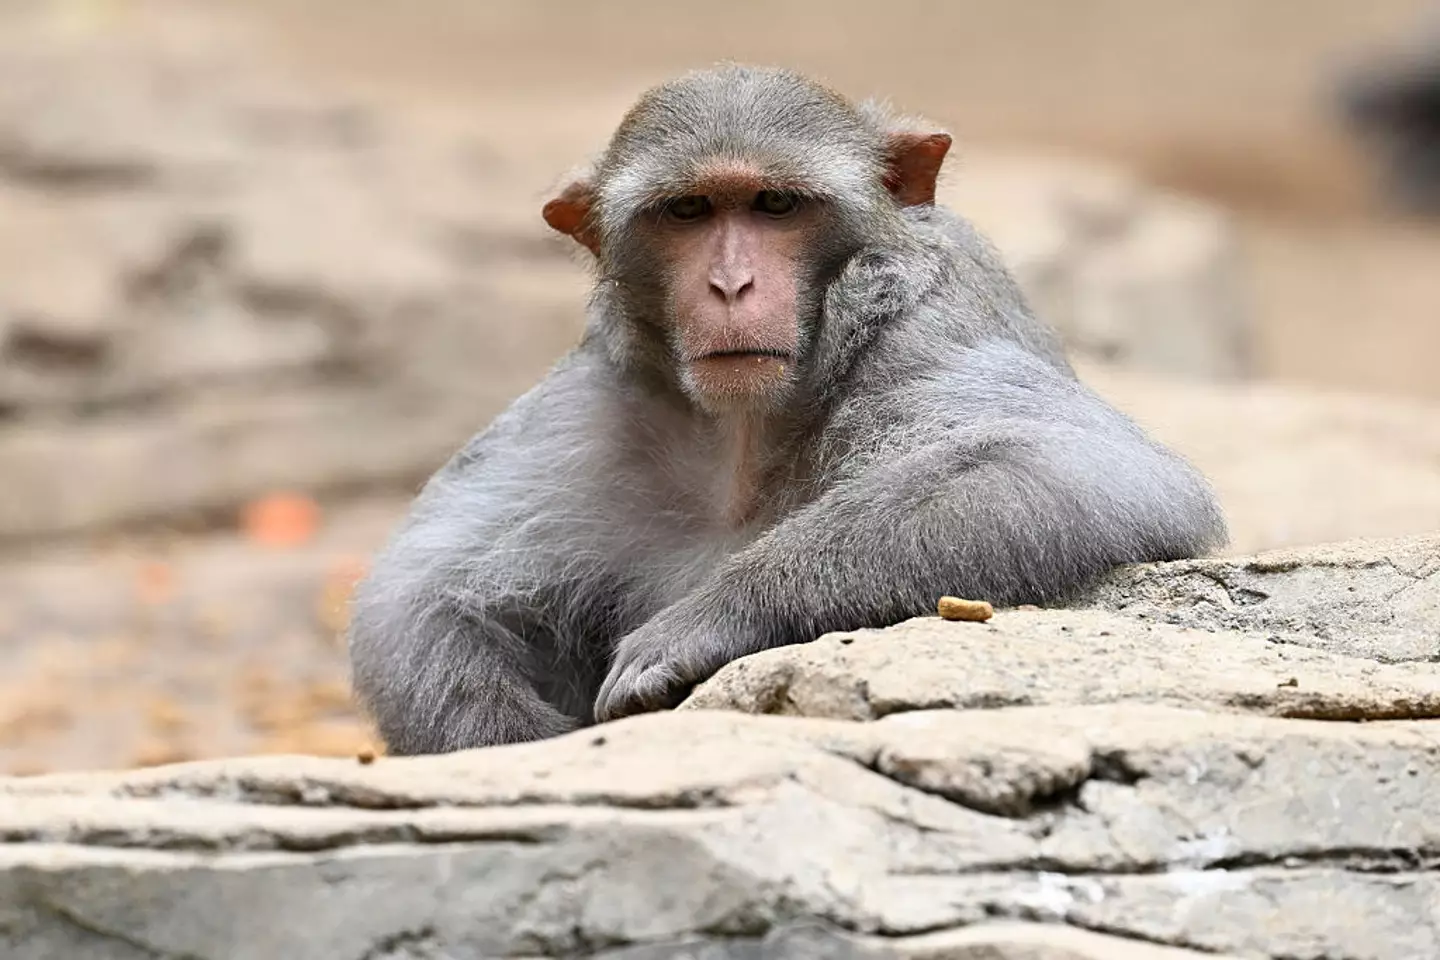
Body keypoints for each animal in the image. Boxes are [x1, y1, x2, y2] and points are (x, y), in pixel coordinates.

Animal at [348, 65, 1227, 755]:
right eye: (689, 212)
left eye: (774, 205)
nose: (730, 285)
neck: (744, 431)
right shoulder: (598, 399)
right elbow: (417, 590)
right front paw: (506, 737)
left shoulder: (923, 332)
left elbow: (1074, 462)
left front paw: (713, 615)